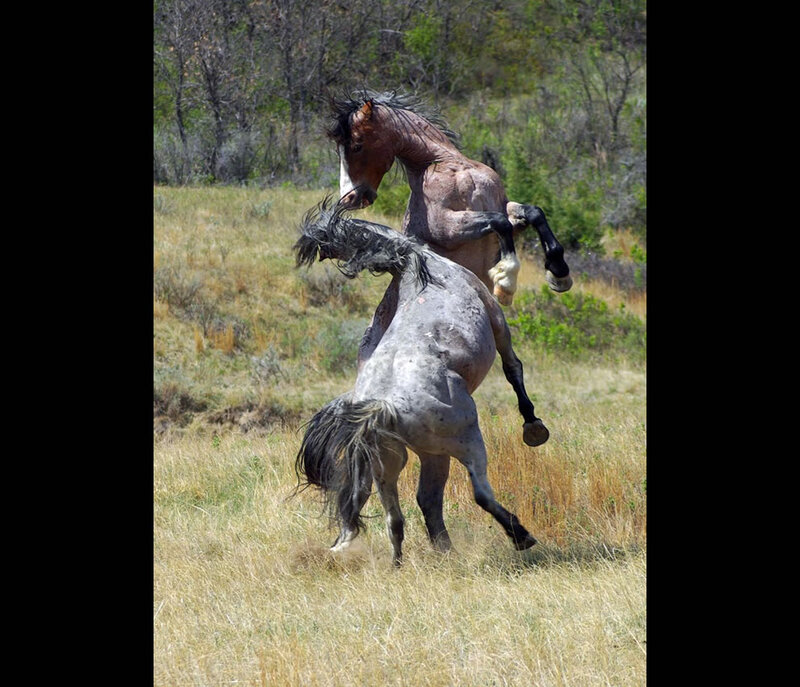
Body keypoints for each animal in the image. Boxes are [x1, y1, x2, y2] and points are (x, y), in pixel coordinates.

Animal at [294, 199, 546, 566]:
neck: (420, 269)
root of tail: (383, 409)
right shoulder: (497, 320)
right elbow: (514, 369)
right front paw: (534, 426)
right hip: (464, 441)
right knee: (479, 493)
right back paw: (520, 535)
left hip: (392, 463)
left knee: (396, 518)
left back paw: (401, 563)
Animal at [327, 89, 573, 307]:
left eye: (357, 146)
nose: (350, 198)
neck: (450, 165)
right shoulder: (446, 227)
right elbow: (499, 222)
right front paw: (506, 283)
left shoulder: (503, 208)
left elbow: (534, 213)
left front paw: (558, 273)